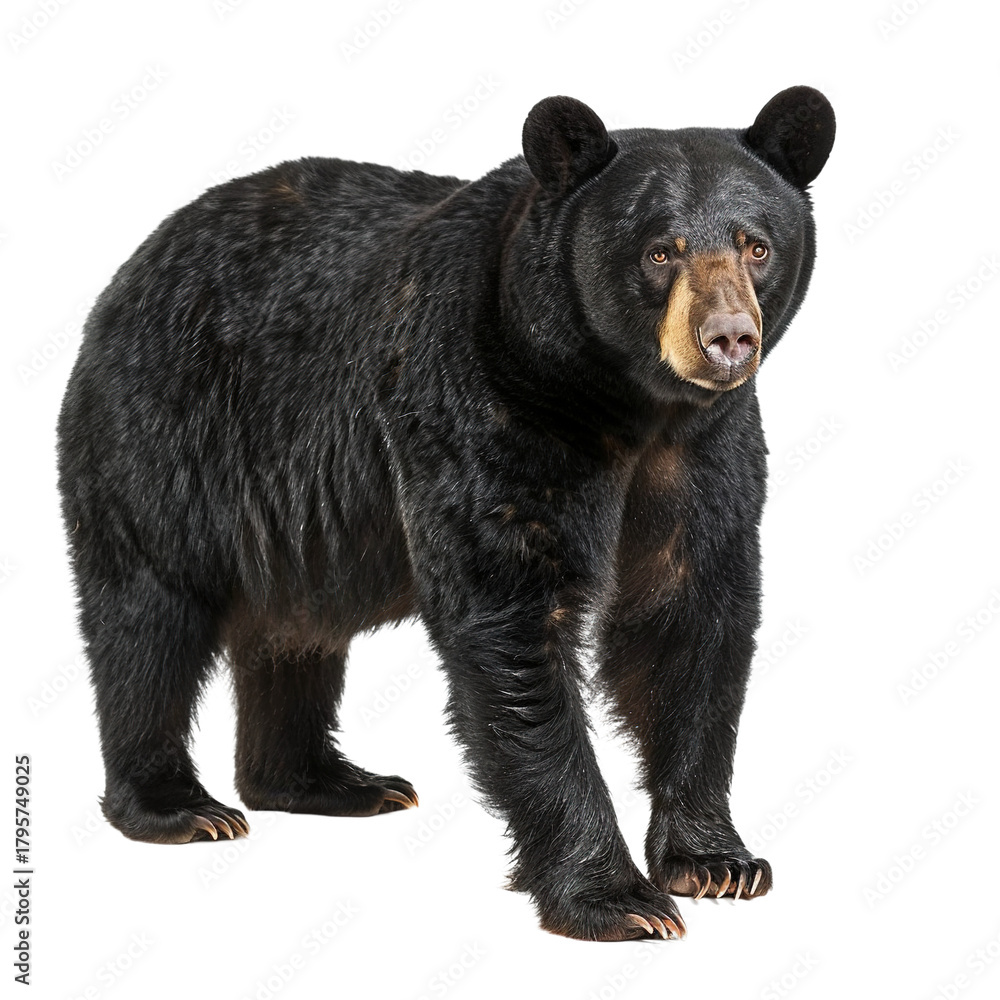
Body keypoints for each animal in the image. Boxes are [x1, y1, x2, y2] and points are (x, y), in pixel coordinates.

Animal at [57, 86, 835, 941]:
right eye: (661, 251)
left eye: (755, 245)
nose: (726, 338)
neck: (622, 404)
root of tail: (130, 267)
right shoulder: (481, 403)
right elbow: (510, 620)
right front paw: (615, 897)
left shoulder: (705, 449)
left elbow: (690, 616)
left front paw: (716, 860)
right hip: (167, 432)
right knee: (150, 616)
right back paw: (179, 806)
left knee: (291, 630)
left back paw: (325, 781)